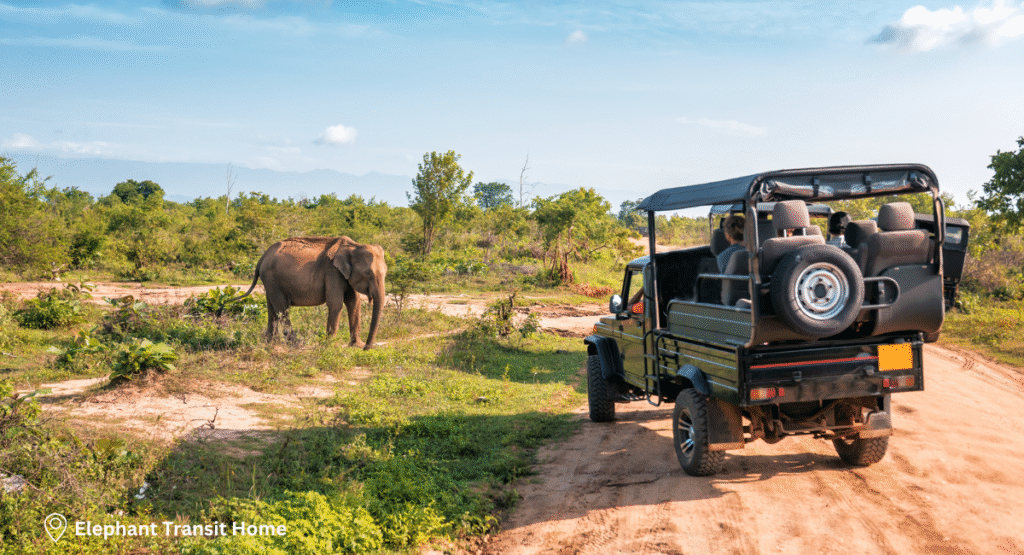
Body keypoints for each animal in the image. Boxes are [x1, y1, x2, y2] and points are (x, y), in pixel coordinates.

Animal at [232, 236, 387, 349]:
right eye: (368, 274)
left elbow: (354, 302)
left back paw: (270, 343)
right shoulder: (332, 272)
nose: (366, 348)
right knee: (282, 308)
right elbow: (336, 303)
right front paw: (329, 345)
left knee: (272, 308)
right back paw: (295, 344)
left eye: (386, 273)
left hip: (270, 282)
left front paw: (355, 345)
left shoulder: (345, 275)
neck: (354, 246)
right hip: (272, 279)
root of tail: (262, 258)